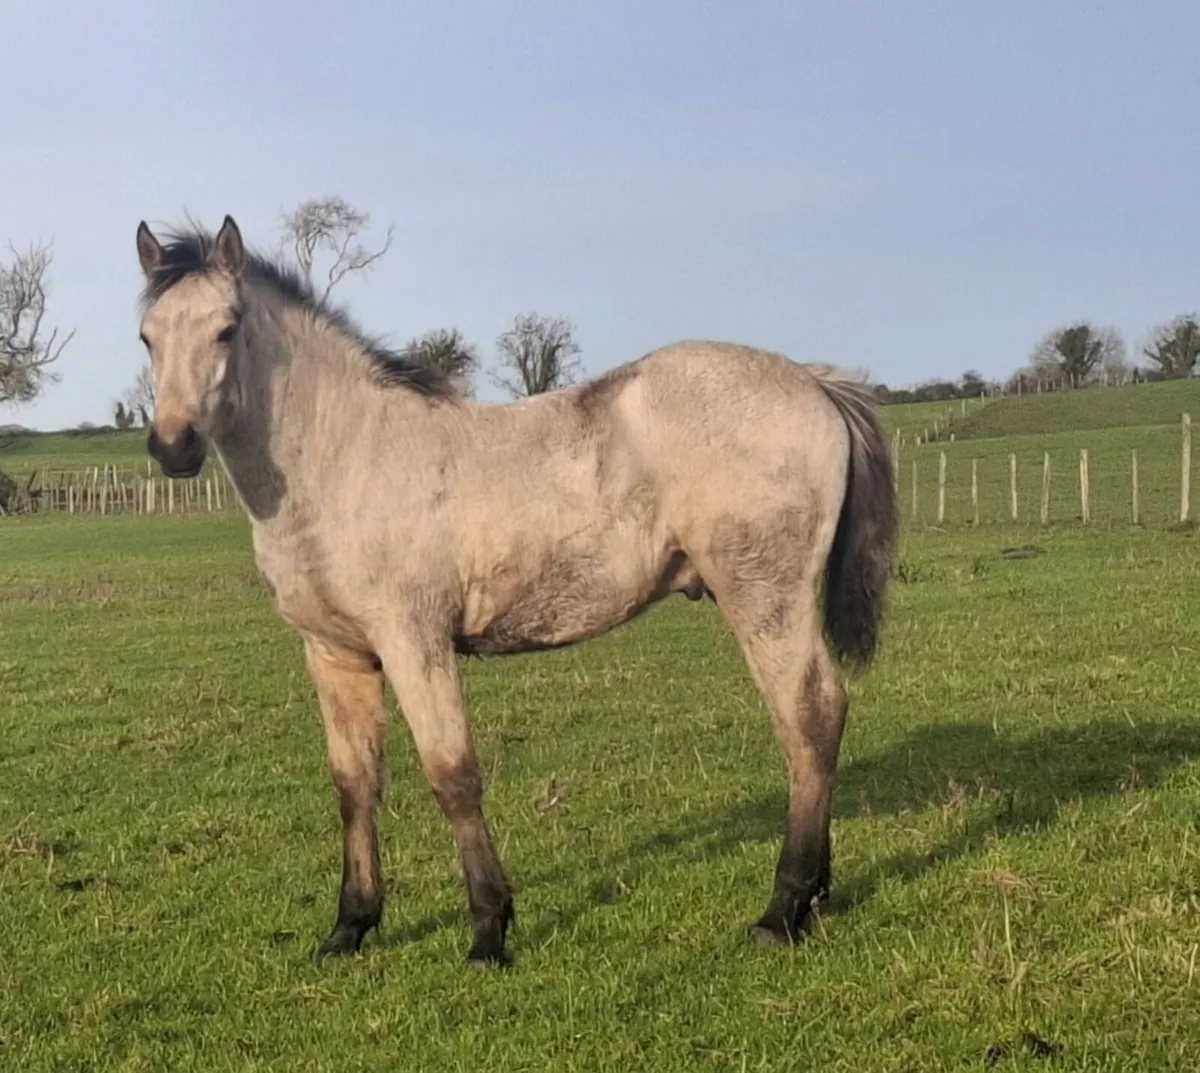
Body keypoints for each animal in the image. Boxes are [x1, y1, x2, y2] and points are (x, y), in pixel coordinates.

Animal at [133, 214, 899, 968]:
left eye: (227, 328)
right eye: (146, 336)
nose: (173, 446)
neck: (344, 458)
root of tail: (813, 380)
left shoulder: (415, 641)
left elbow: (452, 775)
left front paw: (487, 933)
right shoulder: (334, 654)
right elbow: (354, 786)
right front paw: (349, 928)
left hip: (765, 597)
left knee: (810, 718)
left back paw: (783, 910)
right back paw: (814, 897)